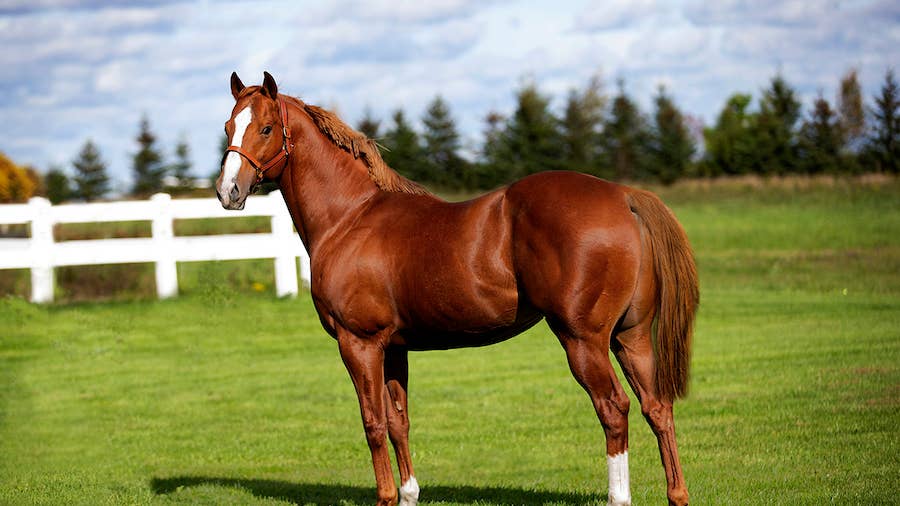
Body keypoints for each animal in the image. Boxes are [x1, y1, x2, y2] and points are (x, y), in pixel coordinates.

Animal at [215, 72, 699, 506]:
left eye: (266, 128)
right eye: (228, 126)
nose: (228, 191)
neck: (350, 217)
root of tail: (623, 196)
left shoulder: (360, 344)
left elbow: (373, 423)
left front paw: (386, 496)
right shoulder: (394, 348)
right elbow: (399, 422)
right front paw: (408, 494)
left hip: (583, 341)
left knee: (614, 409)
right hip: (631, 337)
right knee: (658, 408)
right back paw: (676, 493)